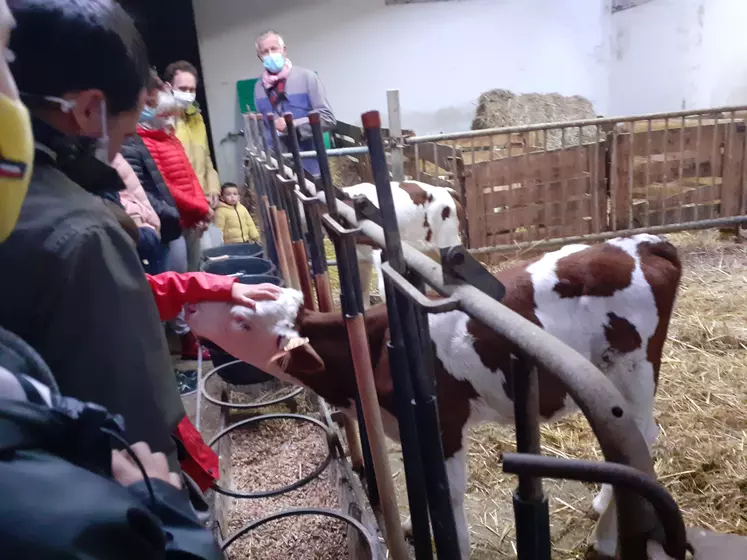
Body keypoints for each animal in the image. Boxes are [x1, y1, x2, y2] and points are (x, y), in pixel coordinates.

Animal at [188, 234, 684, 556]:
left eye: (242, 322)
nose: (191, 304)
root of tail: (645, 243)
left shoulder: (446, 425)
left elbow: (450, 496)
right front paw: (411, 525)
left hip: (634, 370)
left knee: (642, 434)